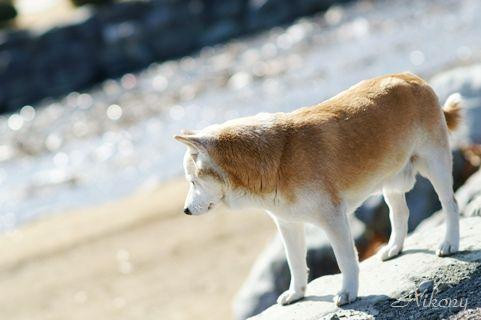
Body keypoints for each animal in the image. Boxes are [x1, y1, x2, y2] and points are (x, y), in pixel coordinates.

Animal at [173, 72, 462, 304]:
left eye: (192, 181)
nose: (185, 211)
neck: (278, 160)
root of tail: (413, 77)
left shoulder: (334, 219)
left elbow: (345, 260)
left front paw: (348, 292)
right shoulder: (288, 225)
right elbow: (295, 263)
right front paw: (297, 293)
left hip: (434, 165)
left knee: (451, 204)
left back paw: (450, 242)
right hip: (390, 183)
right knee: (400, 214)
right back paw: (394, 248)